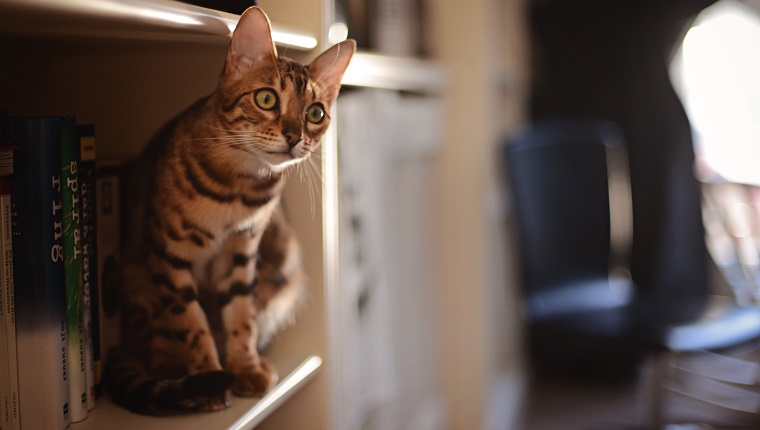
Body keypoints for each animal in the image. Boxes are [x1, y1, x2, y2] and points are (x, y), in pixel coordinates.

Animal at [104, 6, 356, 414]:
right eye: (267, 99)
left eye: (316, 113)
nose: (294, 136)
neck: (239, 190)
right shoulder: (169, 256)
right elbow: (192, 324)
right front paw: (208, 376)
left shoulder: (242, 253)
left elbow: (241, 316)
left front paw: (244, 368)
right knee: (156, 347)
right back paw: (176, 373)